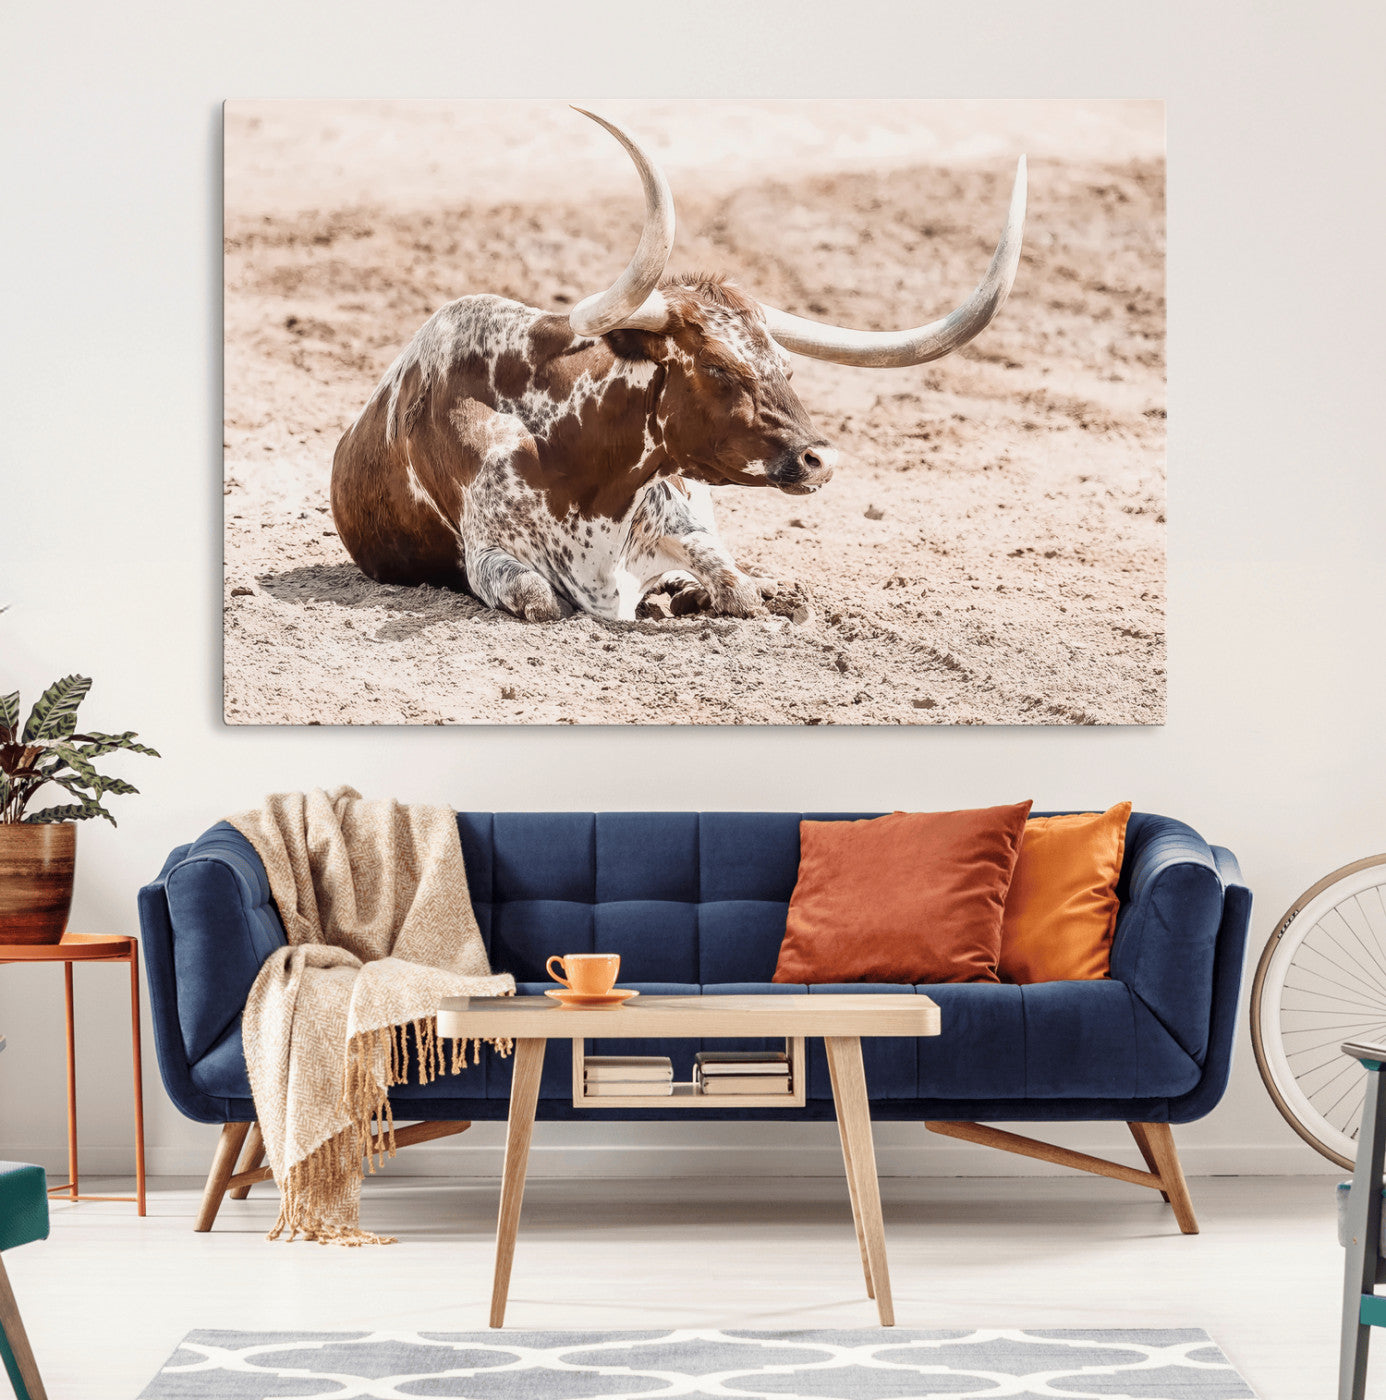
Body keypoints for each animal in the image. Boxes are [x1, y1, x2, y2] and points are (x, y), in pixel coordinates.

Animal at [331, 109, 1026, 622]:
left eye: (787, 368)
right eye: (717, 368)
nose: (820, 460)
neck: (578, 462)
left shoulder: (685, 521)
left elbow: (736, 586)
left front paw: (722, 593)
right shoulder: (490, 557)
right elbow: (542, 599)